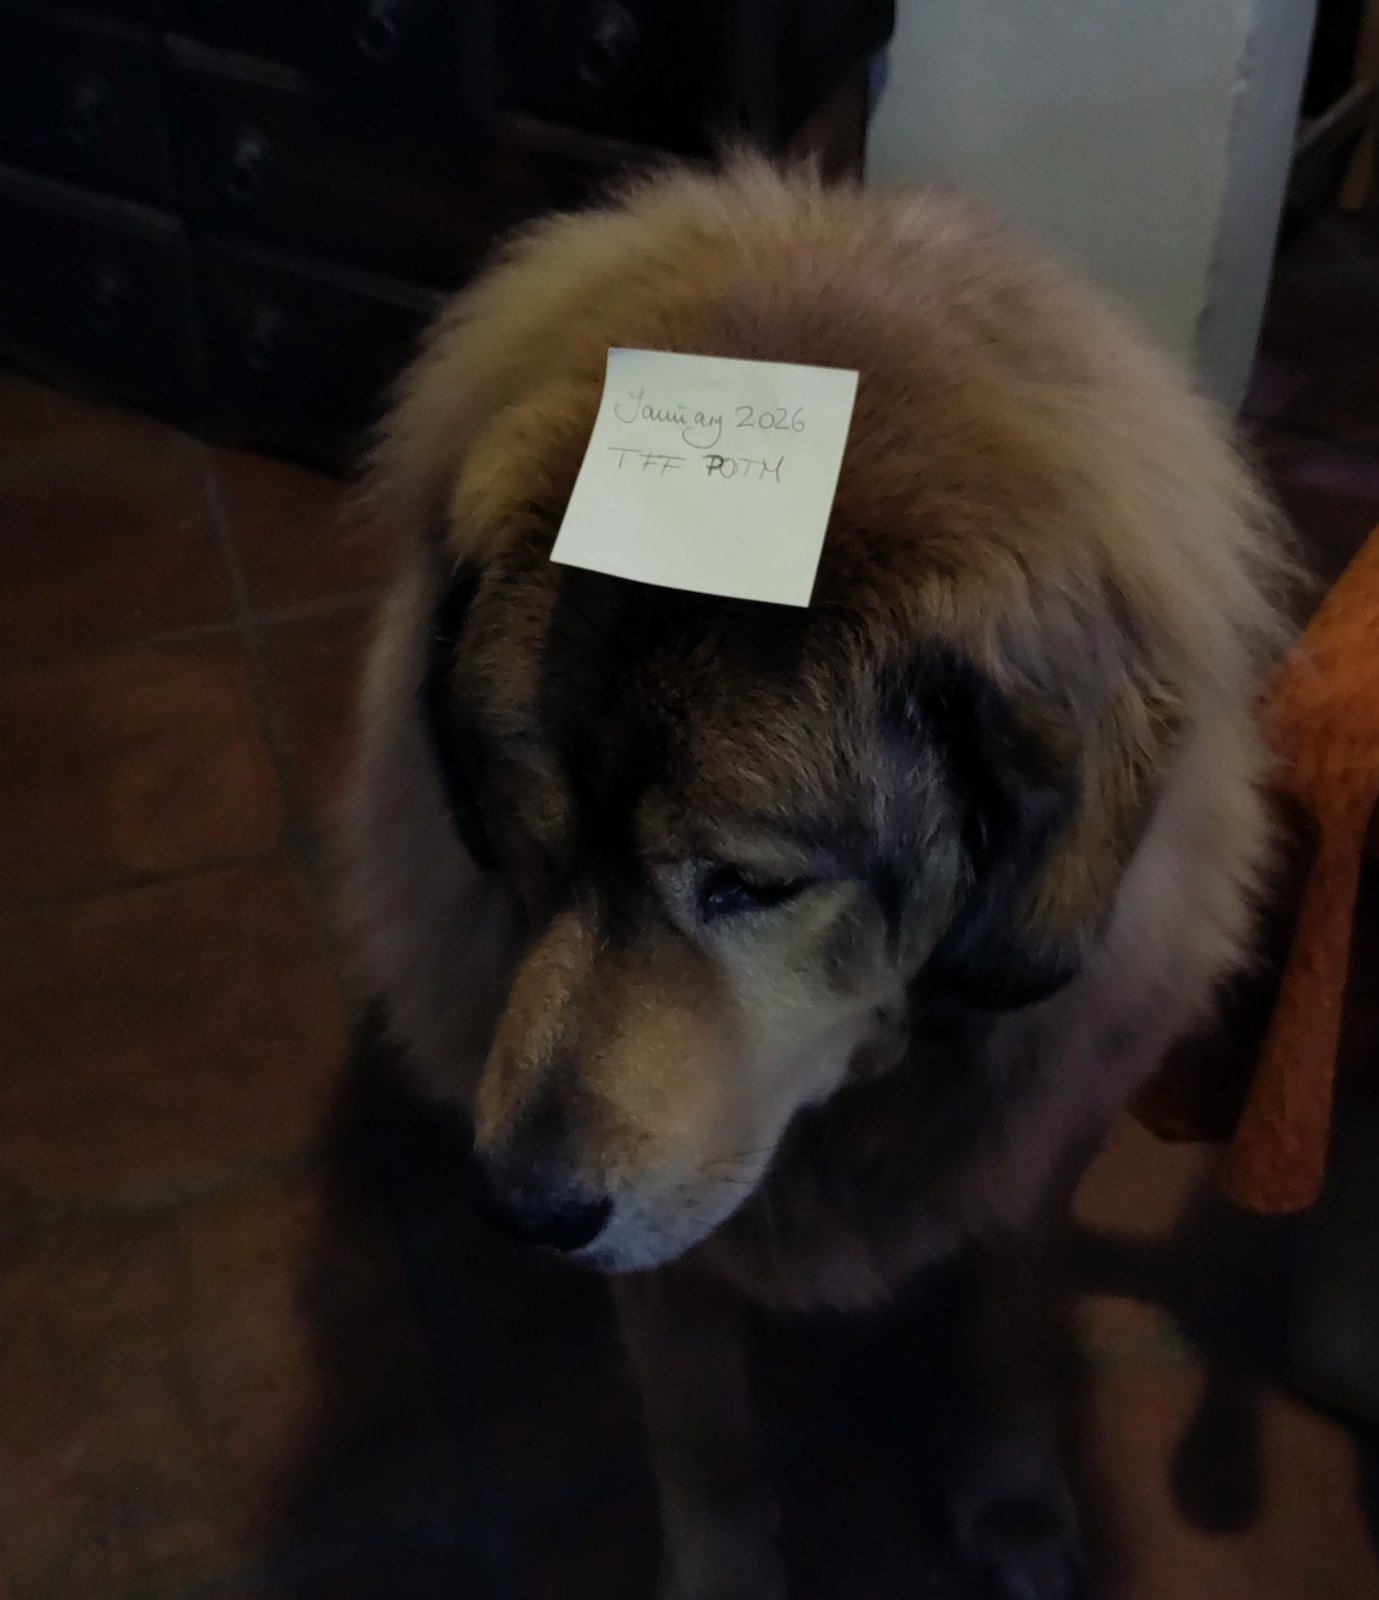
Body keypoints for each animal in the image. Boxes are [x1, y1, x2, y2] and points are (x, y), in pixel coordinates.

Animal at [341, 159, 1289, 1600]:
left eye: (745, 883)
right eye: (531, 844)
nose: (521, 1208)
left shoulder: (1035, 1134)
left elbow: (1009, 1327)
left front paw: (1013, 1502)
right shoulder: (669, 1232)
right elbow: (700, 1427)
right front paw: (725, 1571)